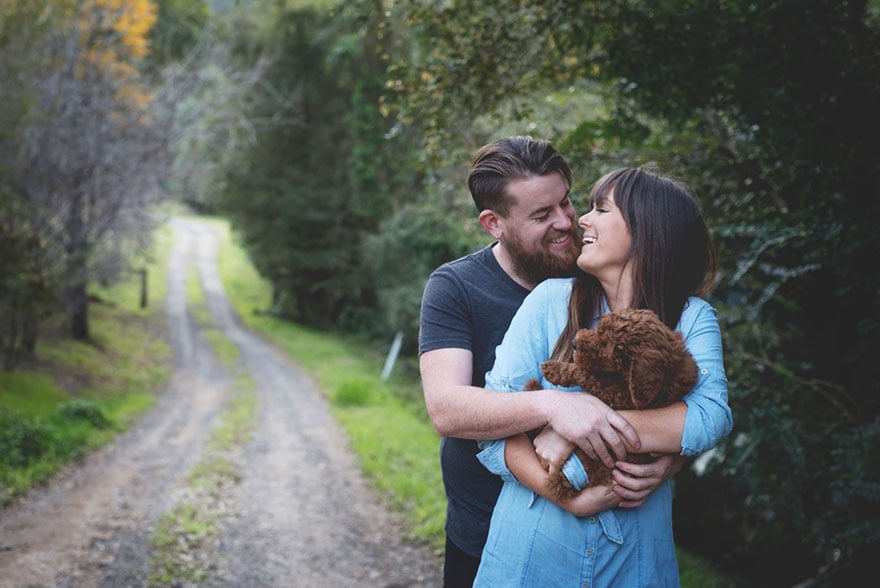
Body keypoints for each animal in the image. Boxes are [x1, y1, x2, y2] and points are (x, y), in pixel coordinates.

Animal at [524, 308, 696, 500]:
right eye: (599, 328)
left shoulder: (620, 395)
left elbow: (587, 374)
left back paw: (532, 387)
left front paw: (553, 369)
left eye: (606, 344)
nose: (575, 342)